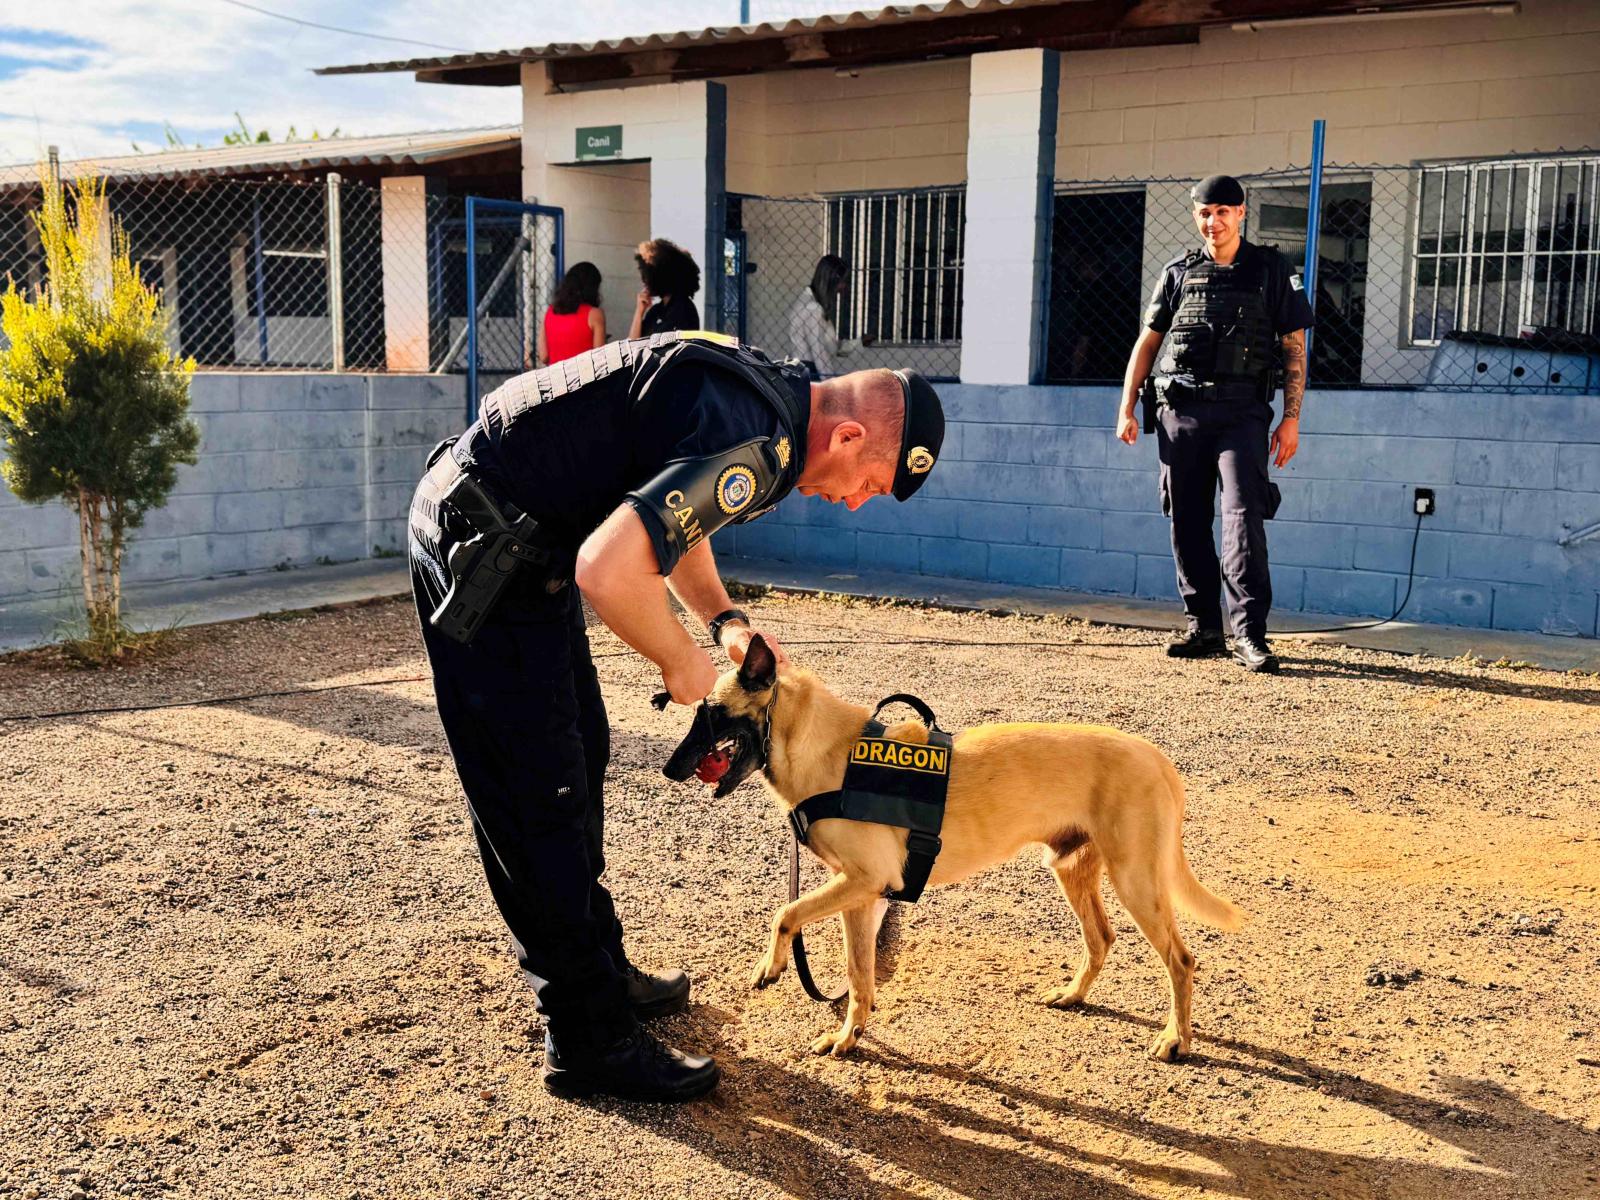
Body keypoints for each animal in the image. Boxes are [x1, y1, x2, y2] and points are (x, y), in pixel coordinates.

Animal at [659, 640, 1235, 1062]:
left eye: (711, 714)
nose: (668, 769)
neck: (828, 752)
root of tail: (1158, 758)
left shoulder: (863, 882)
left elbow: (786, 913)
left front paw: (772, 965)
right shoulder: (863, 897)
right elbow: (859, 976)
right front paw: (850, 1037)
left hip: (1136, 881)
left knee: (1181, 960)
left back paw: (1176, 1040)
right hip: (1072, 870)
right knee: (1102, 939)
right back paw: (1073, 995)